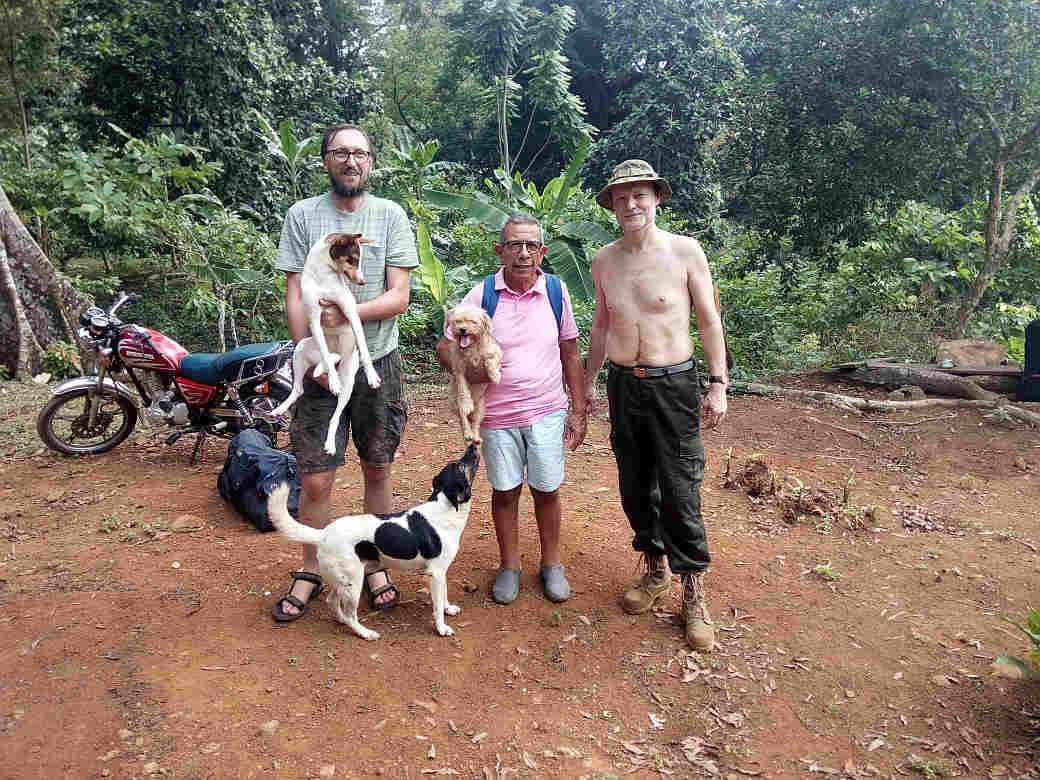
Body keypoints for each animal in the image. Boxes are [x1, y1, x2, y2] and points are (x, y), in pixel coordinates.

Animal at [266, 445, 480, 640]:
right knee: (350, 614)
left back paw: (341, 619)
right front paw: (441, 628)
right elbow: (436, 605)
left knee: (332, 601)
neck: (446, 506)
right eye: (461, 466)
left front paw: (448, 608)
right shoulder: (435, 573)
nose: (473, 445)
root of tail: (323, 534)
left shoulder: (441, 572)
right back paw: (365, 632)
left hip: (342, 579)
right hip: (354, 581)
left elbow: (444, 595)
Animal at [270, 228, 380, 455]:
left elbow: (364, 349)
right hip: (300, 350)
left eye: (360, 260)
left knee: (335, 417)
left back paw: (329, 444)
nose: (362, 281)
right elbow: (325, 354)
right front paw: (332, 380)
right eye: (352, 259)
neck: (324, 276)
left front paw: (372, 376)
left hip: (348, 383)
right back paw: (281, 407)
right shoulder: (314, 318)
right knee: (302, 385)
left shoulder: (350, 312)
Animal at [440, 305, 501, 445]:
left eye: (472, 321)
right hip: (456, 404)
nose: (462, 329)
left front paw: (495, 375)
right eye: (457, 321)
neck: (472, 347)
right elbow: (463, 387)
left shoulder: (495, 352)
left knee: (475, 423)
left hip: (481, 409)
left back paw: (476, 437)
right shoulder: (459, 369)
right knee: (463, 419)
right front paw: (467, 402)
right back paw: (468, 434)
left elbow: (490, 360)